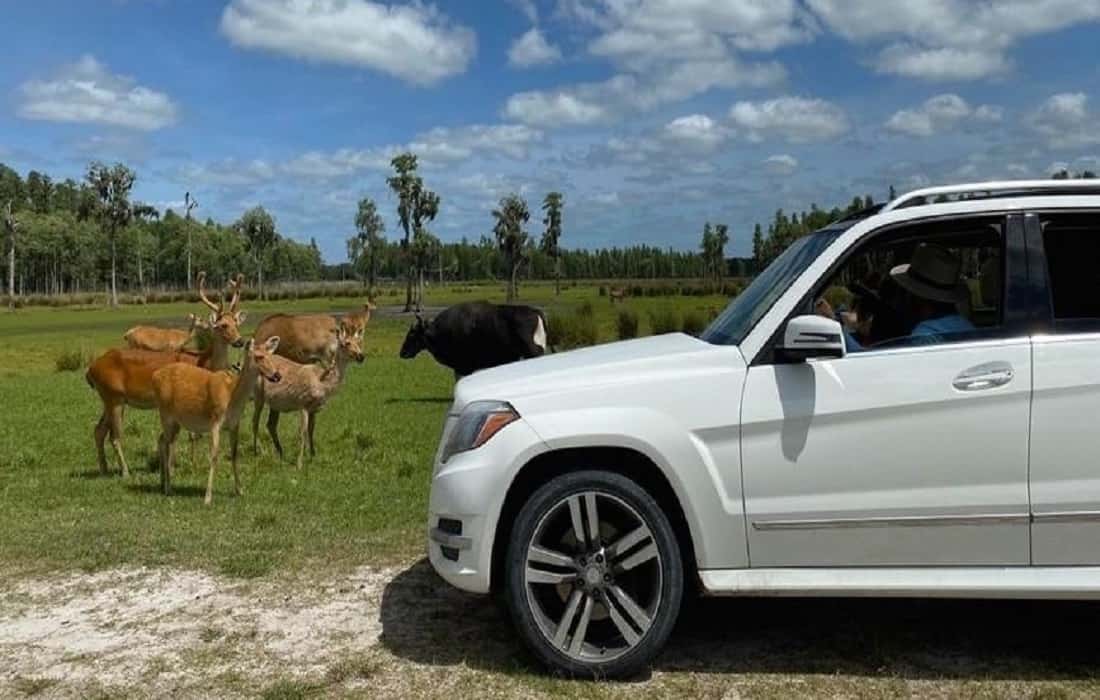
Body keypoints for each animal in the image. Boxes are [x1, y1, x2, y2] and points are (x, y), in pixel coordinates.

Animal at [86, 271, 249, 475]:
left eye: (236, 323)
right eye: (222, 325)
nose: (240, 341)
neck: (203, 363)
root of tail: (90, 369)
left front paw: (181, 464)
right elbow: (185, 435)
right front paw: (177, 467)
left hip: (110, 398)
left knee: (98, 430)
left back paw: (104, 468)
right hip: (113, 396)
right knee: (114, 436)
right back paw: (124, 471)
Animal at [251, 323, 367, 471]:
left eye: (359, 342)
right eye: (346, 343)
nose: (361, 356)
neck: (323, 384)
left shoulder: (315, 408)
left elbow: (312, 430)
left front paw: (312, 456)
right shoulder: (303, 403)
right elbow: (303, 432)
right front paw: (299, 464)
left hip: (275, 403)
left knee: (270, 424)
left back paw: (281, 453)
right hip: (258, 395)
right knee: (255, 421)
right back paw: (258, 452)